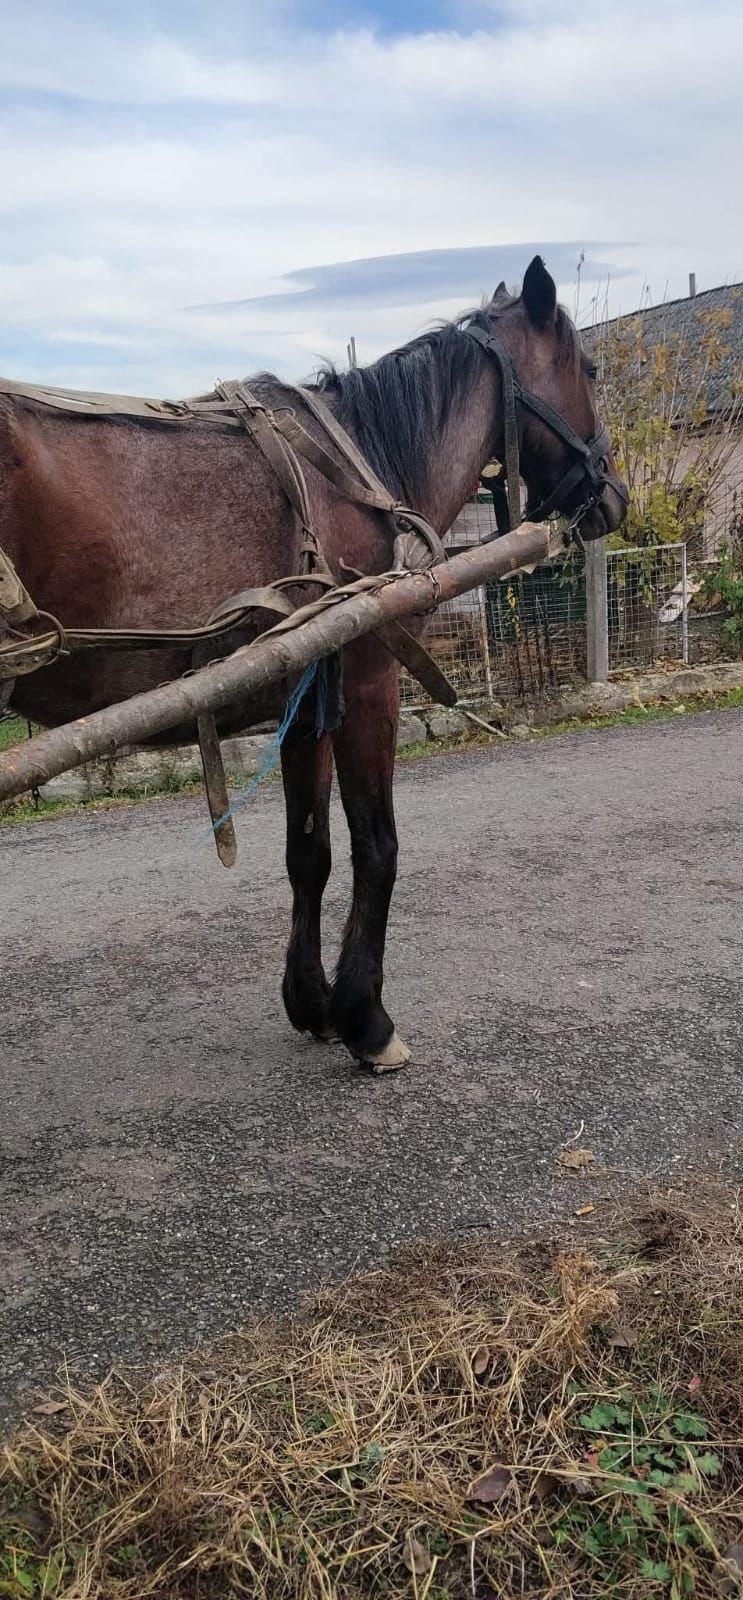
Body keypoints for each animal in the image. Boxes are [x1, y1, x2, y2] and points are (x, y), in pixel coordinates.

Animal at [0, 255, 627, 1071]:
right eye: (590, 367)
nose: (615, 495)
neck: (353, 476)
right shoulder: (367, 678)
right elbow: (376, 846)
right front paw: (367, 1018)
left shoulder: (304, 701)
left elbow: (310, 851)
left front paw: (313, 1002)